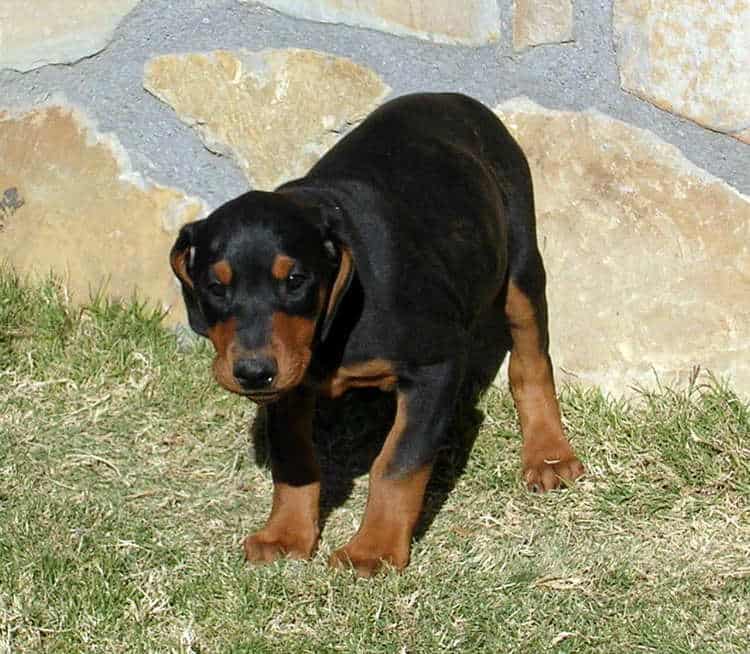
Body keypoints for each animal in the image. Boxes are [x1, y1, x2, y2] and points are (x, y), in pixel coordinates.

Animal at [172, 93, 588, 580]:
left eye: (295, 280)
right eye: (215, 287)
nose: (253, 373)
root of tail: (454, 97)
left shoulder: (436, 367)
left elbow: (396, 463)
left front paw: (373, 550)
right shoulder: (289, 384)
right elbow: (294, 456)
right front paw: (286, 535)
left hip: (519, 257)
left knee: (531, 358)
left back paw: (548, 453)